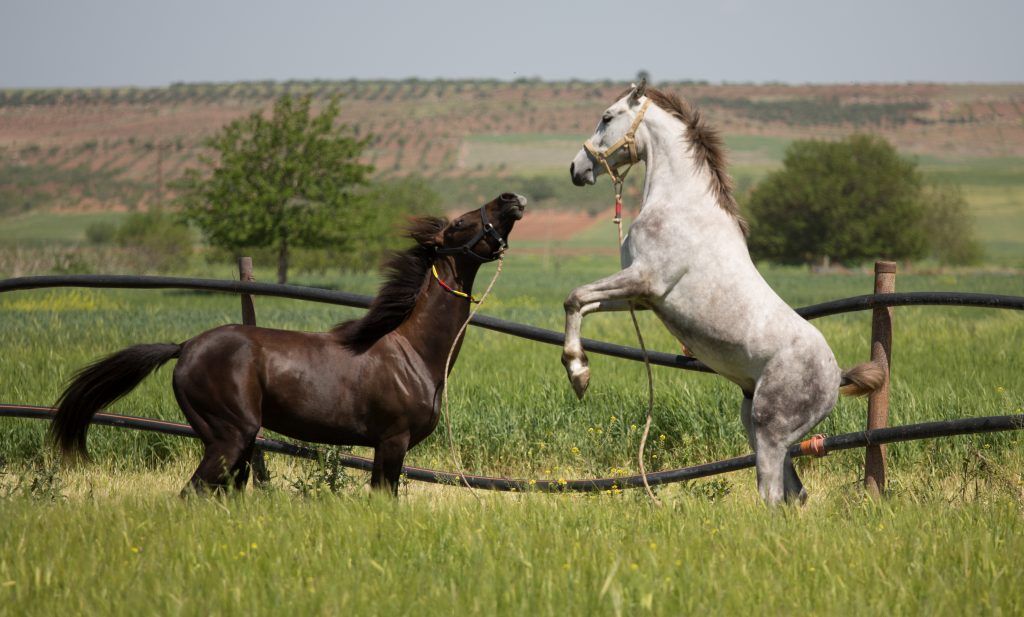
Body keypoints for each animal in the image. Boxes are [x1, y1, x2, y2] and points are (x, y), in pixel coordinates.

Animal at [50, 193, 524, 497]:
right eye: (459, 224)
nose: (511, 198)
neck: (414, 352)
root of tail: (184, 347)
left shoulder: (387, 447)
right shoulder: (393, 442)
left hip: (231, 444)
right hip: (229, 437)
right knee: (192, 494)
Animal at [565, 81, 884, 505]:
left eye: (606, 116)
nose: (577, 169)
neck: (679, 204)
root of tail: (837, 376)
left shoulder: (645, 280)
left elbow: (575, 297)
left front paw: (578, 372)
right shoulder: (637, 297)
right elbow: (581, 302)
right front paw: (579, 371)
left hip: (769, 430)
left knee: (772, 494)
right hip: (759, 426)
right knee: (794, 493)